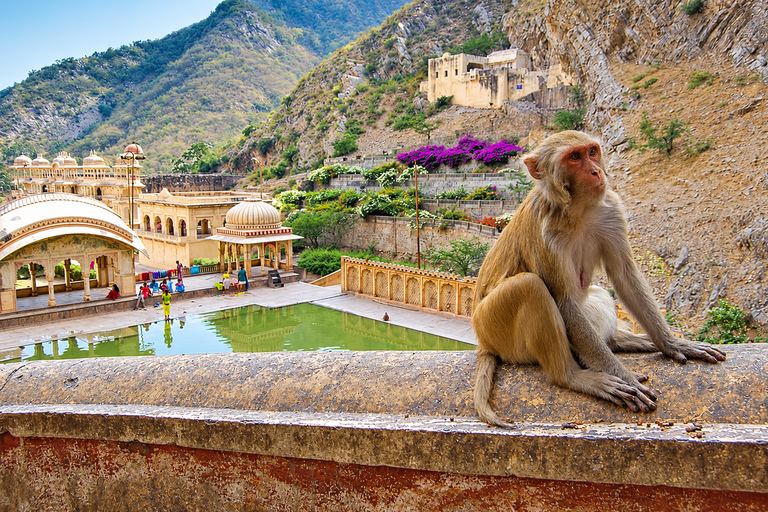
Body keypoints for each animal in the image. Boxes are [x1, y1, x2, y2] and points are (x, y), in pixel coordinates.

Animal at [472, 130, 726, 428]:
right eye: (574, 157)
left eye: (592, 152)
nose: (596, 171)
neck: (577, 209)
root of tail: (484, 344)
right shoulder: (545, 233)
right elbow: (563, 300)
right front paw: (623, 376)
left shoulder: (611, 209)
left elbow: (625, 275)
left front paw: (673, 344)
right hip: (493, 327)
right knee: (529, 286)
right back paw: (575, 377)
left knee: (598, 295)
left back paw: (623, 342)